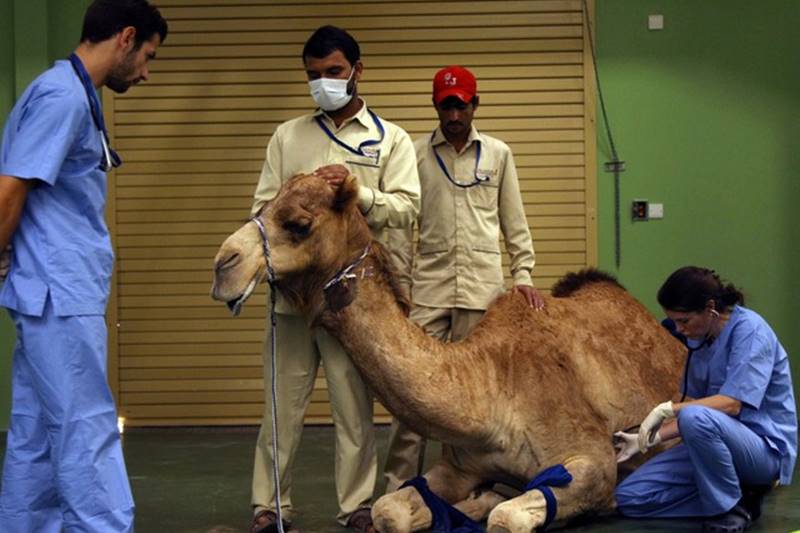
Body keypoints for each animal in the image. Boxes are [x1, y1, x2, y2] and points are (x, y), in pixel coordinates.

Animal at [210, 173, 686, 532]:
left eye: (298, 223)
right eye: (263, 206)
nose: (222, 265)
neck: (493, 385)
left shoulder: (594, 461)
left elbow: (508, 519)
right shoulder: (459, 467)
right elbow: (389, 510)